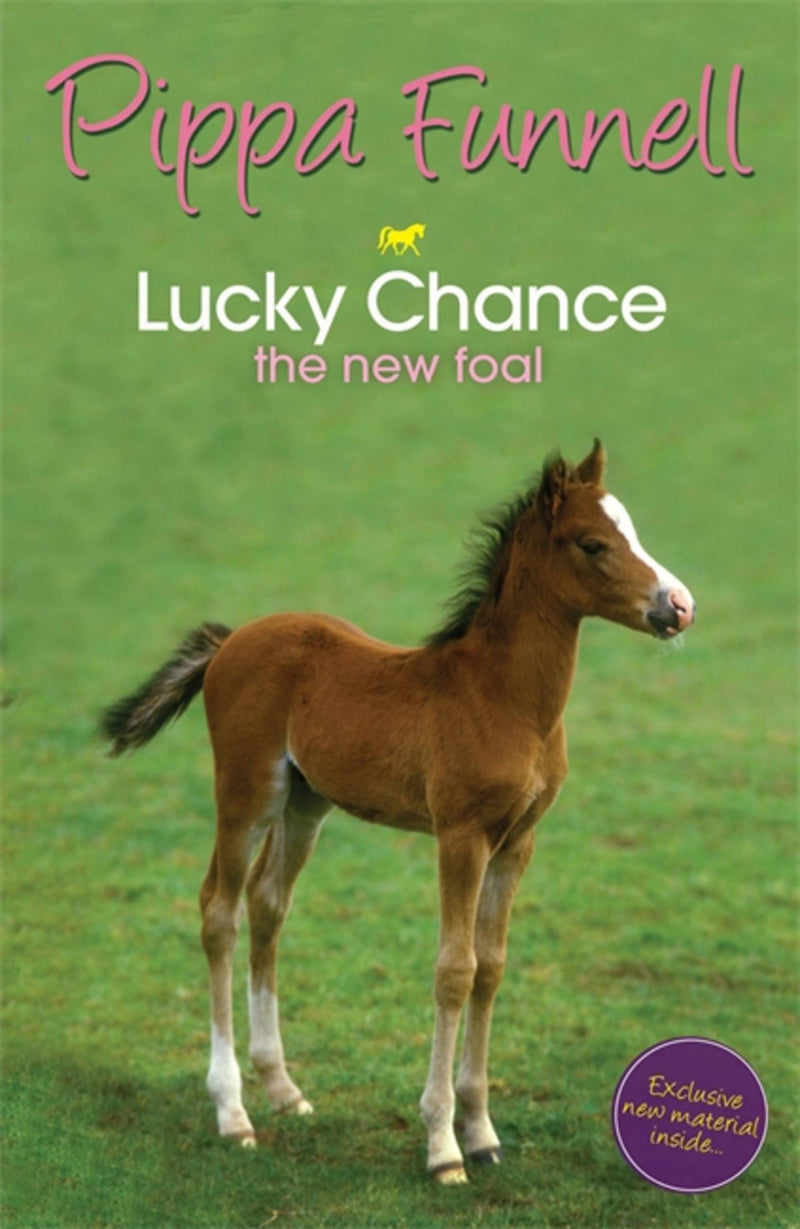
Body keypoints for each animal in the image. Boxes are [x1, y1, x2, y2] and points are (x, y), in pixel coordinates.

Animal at [101, 440, 695, 1185]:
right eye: (593, 542)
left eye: (633, 529)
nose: (679, 605)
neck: (503, 698)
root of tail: (232, 640)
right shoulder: (461, 835)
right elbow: (454, 970)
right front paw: (443, 1146)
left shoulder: (518, 842)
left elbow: (491, 967)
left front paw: (483, 1131)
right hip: (245, 793)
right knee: (219, 911)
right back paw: (232, 1112)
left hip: (306, 802)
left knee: (268, 904)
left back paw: (282, 1088)